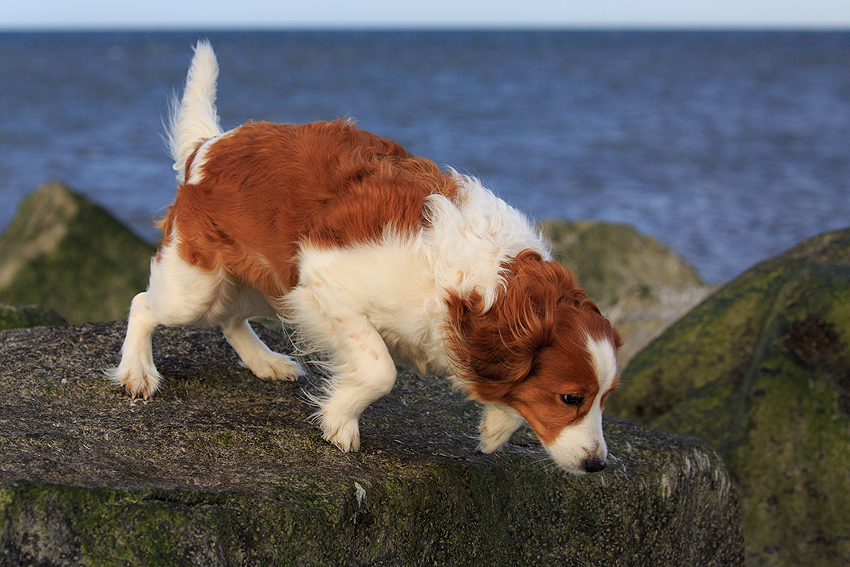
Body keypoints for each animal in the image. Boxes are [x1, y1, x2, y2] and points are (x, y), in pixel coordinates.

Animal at [109, 41, 620, 474]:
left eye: (604, 399)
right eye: (570, 398)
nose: (598, 465)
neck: (478, 280)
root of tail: (210, 148)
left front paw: (495, 427)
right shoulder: (327, 283)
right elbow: (380, 370)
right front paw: (339, 421)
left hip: (267, 285)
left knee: (230, 319)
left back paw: (265, 362)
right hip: (199, 286)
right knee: (143, 304)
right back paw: (137, 371)